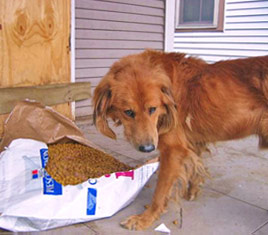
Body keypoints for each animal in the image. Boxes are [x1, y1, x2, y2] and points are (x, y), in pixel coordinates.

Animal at [92, 49, 268, 229]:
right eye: (128, 112)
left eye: (152, 109)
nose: (148, 148)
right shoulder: (194, 142)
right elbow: (195, 169)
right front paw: (192, 191)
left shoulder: (172, 150)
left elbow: (160, 190)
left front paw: (146, 218)